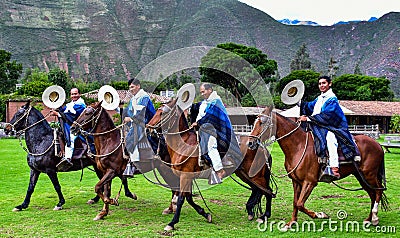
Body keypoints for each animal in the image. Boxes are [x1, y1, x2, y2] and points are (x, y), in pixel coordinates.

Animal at [3, 101, 137, 211]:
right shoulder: (34, 170)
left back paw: (126, 194)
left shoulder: (50, 170)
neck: (41, 141)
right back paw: (97, 199)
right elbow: (30, 188)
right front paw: (23, 205)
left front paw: (60, 203)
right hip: (98, 166)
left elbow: (57, 186)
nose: (7, 129)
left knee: (118, 178)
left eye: (19, 114)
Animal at [147, 99, 276, 231]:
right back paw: (250, 211)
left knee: (268, 191)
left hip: (256, 176)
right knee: (257, 190)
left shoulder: (185, 176)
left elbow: (182, 199)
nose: (148, 128)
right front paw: (205, 214)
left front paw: (172, 223)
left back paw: (265, 215)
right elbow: (189, 198)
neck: (183, 144)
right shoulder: (187, 177)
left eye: (163, 113)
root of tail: (262, 147)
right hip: (245, 175)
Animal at [247, 105, 388, 229]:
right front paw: (291, 223)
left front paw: (320, 215)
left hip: (369, 175)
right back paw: (369, 219)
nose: (250, 143)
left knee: (379, 191)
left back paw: (375, 217)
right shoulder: (296, 181)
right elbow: (295, 202)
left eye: (262, 122)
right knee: (372, 194)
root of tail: (378, 145)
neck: (298, 146)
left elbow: (300, 203)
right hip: (361, 176)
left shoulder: (310, 182)